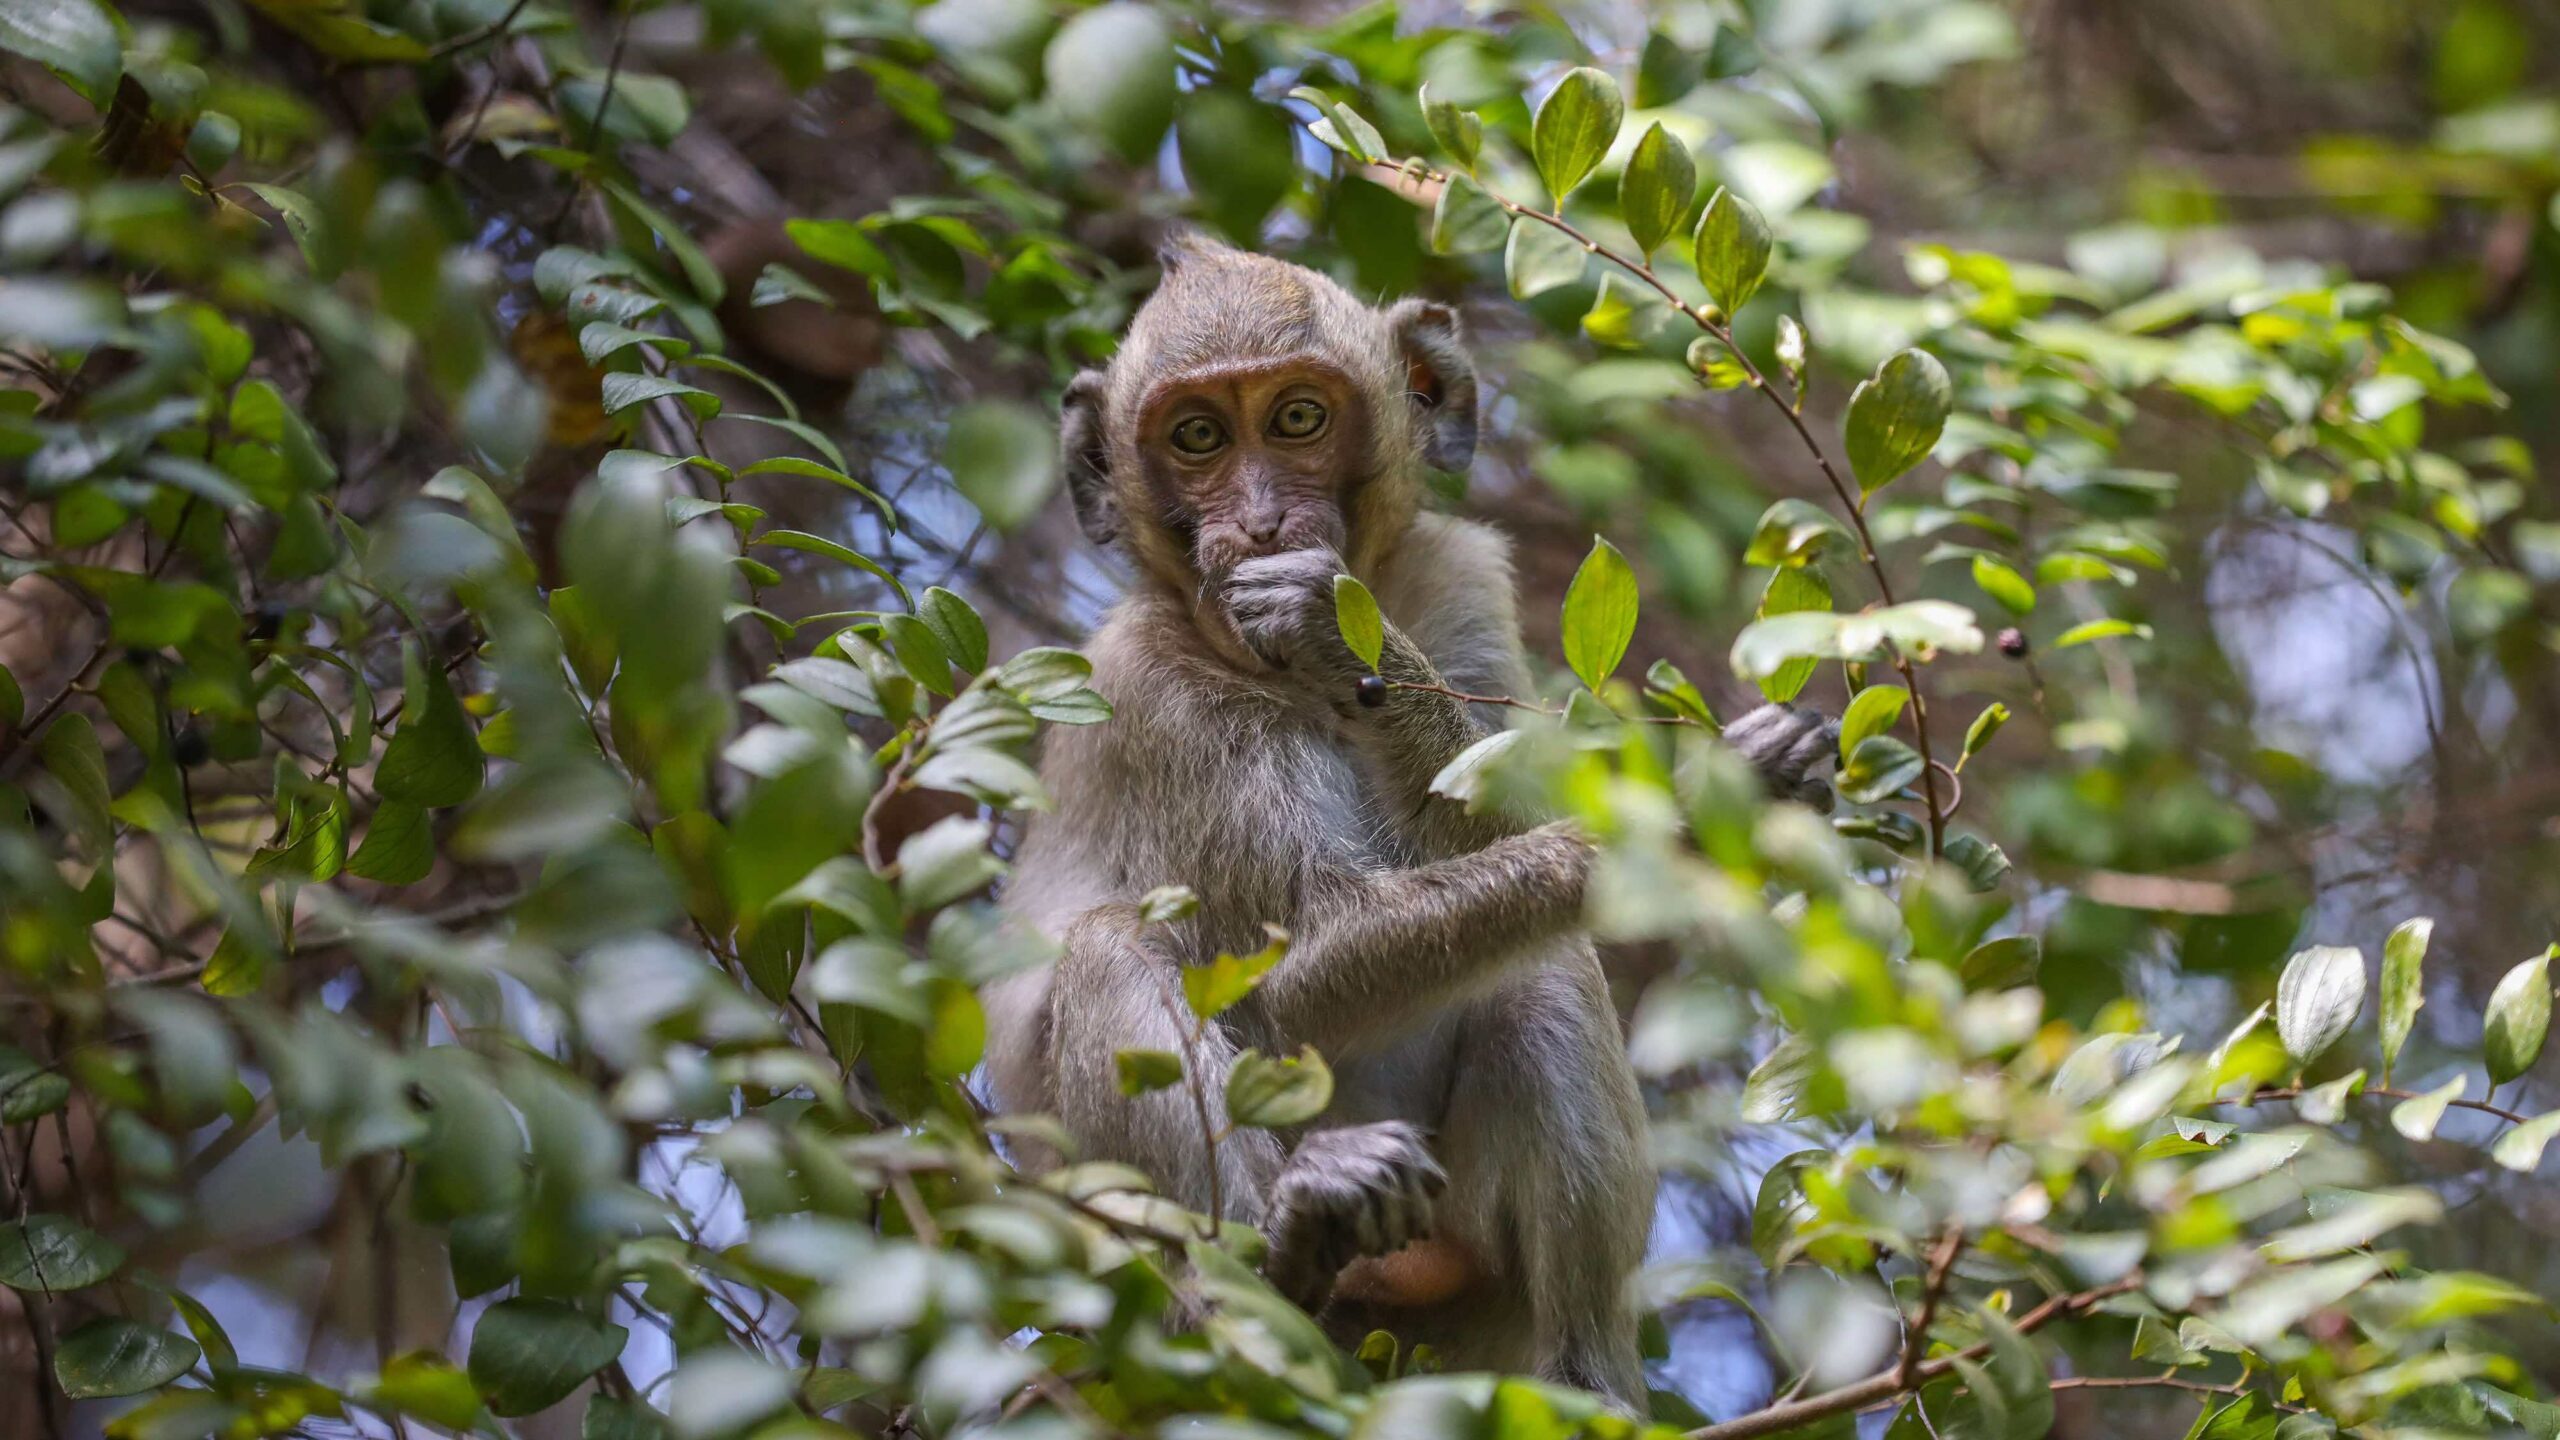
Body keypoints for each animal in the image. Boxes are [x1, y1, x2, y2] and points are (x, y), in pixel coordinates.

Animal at [977, 233, 1843, 1404]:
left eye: (1298, 417)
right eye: (1197, 437)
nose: (1259, 526)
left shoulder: (1458, 579)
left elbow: (1487, 842)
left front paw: (1346, 636)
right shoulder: (1157, 696)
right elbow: (1297, 965)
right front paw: (1698, 811)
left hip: (1459, 1298)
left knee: (1536, 963)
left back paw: (1585, 1380)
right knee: (1113, 947)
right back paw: (1271, 1269)